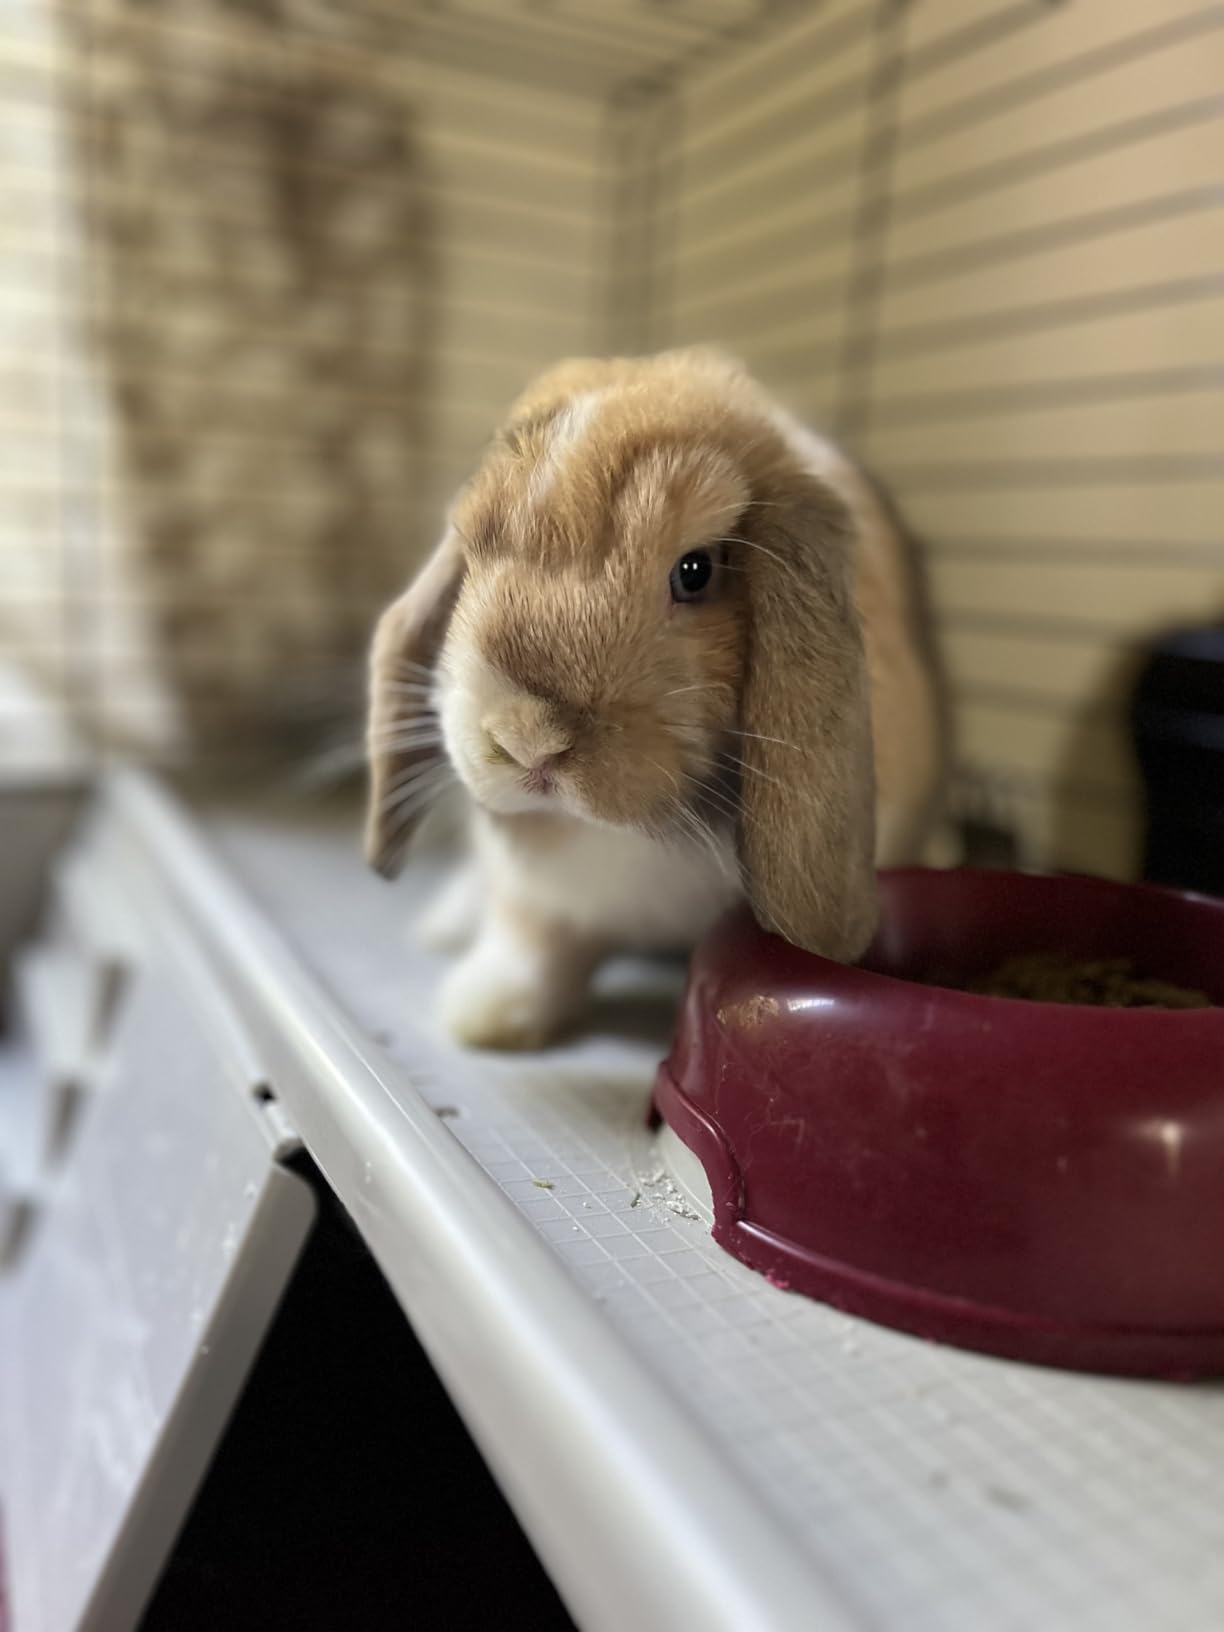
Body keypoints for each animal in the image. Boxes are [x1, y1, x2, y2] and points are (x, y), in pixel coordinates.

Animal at [365, 348, 948, 1049]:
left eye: (695, 571)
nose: (526, 738)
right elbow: (531, 941)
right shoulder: (536, 897)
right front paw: (487, 1015)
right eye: (473, 554)